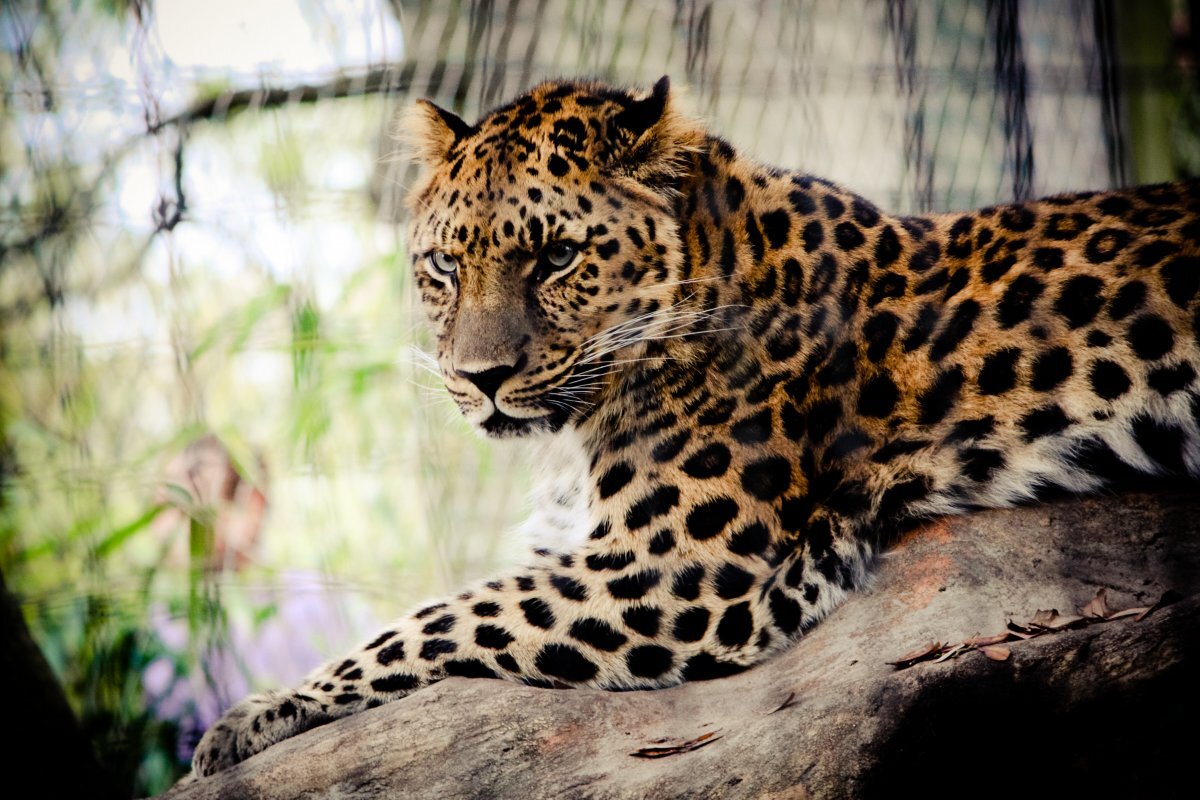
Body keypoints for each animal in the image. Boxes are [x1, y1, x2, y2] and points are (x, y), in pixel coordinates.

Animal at [189, 74, 1200, 777]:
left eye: (557, 257)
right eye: (443, 265)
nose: (480, 380)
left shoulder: (676, 563)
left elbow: (439, 618)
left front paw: (254, 717)